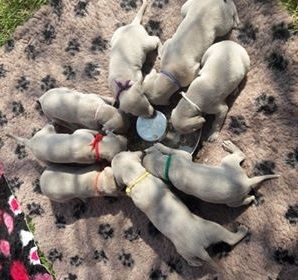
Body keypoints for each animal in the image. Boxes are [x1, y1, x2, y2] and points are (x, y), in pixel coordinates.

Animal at [110, 151, 248, 266]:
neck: (135, 177)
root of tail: (199, 248)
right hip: (206, 232)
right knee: (229, 240)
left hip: (198, 240)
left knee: (200, 255)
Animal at [143, 143, 280, 207]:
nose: (143, 157)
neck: (167, 166)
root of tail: (246, 181)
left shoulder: (182, 155)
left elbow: (171, 150)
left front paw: (158, 146)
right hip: (233, 193)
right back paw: (250, 198)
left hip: (228, 165)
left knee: (241, 154)